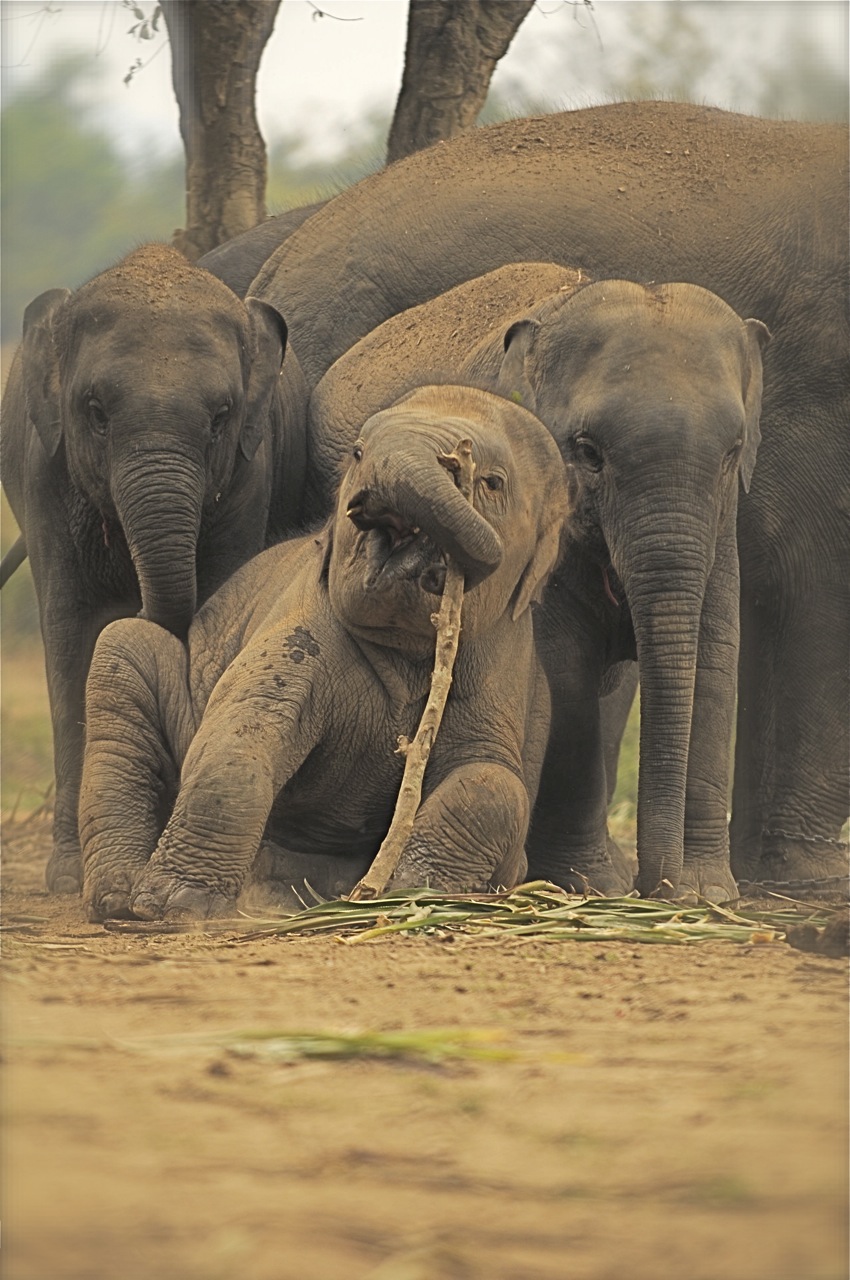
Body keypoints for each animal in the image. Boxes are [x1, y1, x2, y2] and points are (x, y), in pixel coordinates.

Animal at [0, 244, 312, 896]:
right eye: (94, 412)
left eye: (221, 417)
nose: (140, 601)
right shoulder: (43, 474)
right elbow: (70, 631)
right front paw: (69, 877)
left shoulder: (250, 470)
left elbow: (218, 595)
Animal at [81, 381, 570, 921]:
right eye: (357, 452)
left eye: (493, 483)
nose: (367, 503)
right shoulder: (299, 622)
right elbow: (238, 736)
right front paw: (174, 908)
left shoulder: (501, 657)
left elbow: (493, 779)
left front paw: (411, 890)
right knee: (122, 654)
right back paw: (120, 899)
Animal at [307, 263, 768, 896]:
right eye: (587, 451)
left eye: (732, 453)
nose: (655, 885)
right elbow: (564, 667)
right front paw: (592, 886)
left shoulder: (723, 529)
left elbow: (714, 657)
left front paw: (707, 895)